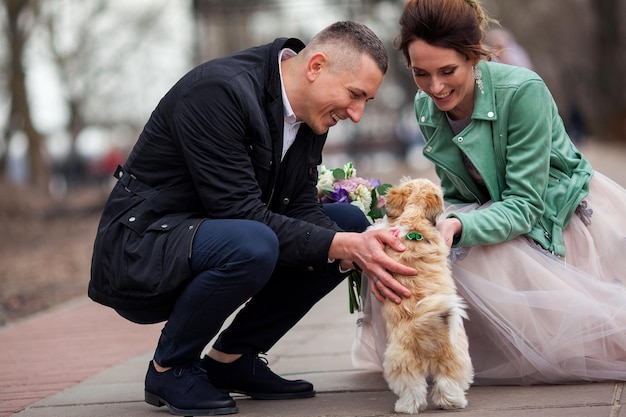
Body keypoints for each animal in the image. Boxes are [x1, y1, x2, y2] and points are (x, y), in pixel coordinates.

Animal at [368, 177, 470, 414]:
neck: (414, 223)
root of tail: (423, 325)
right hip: (452, 353)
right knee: (444, 381)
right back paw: (451, 402)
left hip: (406, 359)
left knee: (417, 387)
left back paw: (410, 406)